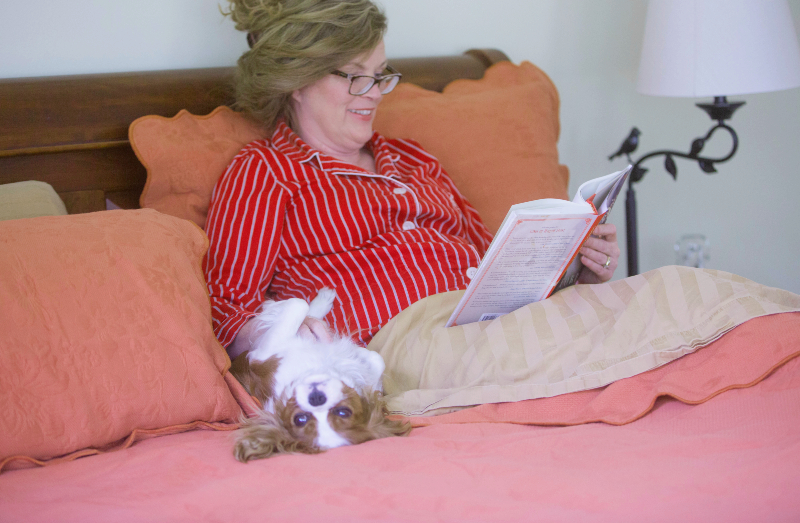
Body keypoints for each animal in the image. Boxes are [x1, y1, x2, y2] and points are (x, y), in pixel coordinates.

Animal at [230, 288, 406, 464]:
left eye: (343, 412)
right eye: (301, 419)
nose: (316, 398)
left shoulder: (263, 355)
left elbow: (298, 305)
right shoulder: (263, 356)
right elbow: (299, 305)